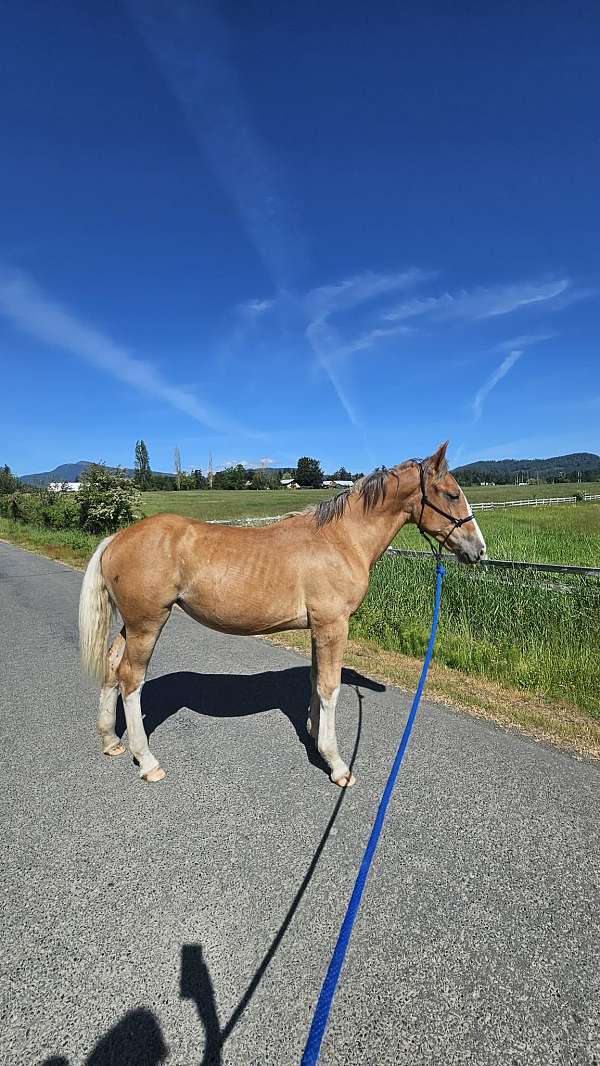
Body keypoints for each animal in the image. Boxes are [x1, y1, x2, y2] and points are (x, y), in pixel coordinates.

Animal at [79, 442, 486, 786]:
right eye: (451, 494)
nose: (478, 550)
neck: (340, 540)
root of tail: (116, 539)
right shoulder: (333, 626)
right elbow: (330, 687)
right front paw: (337, 765)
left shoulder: (317, 628)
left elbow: (315, 681)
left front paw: (314, 733)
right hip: (147, 624)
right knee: (131, 679)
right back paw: (147, 761)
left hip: (132, 625)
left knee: (113, 667)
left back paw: (111, 740)